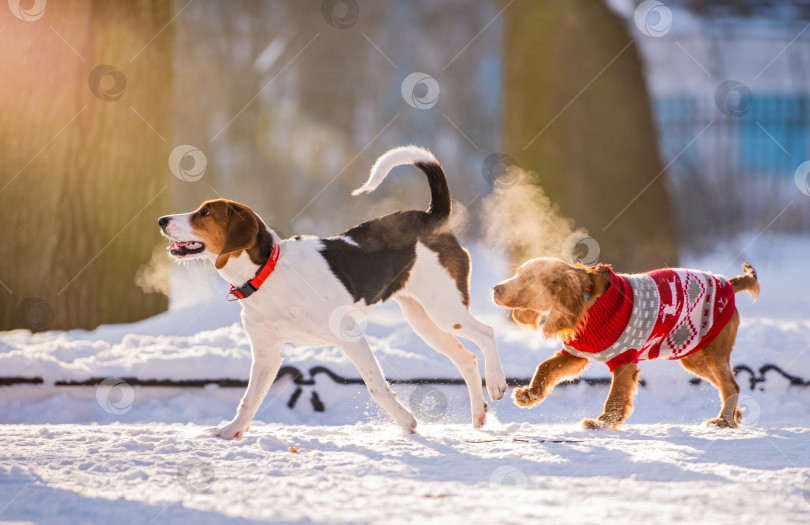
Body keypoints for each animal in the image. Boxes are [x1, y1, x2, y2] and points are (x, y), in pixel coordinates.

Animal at [158, 145, 504, 436]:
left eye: (205, 213)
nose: (161, 219)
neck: (267, 273)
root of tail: (433, 217)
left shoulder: (350, 335)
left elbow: (376, 386)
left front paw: (407, 421)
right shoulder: (267, 353)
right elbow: (249, 399)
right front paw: (231, 431)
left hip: (444, 309)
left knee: (487, 333)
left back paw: (498, 384)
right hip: (424, 321)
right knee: (467, 358)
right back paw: (479, 415)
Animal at [490, 256, 760, 428]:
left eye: (531, 278)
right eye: (518, 273)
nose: (495, 288)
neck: (588, 303)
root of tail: (728, 284)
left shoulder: (624, 360)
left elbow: (616, 395)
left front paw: (603, 423)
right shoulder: (576, 354)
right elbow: (545, 367)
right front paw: (530, 394)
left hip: (713, 353)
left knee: (730, 385)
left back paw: (725, 421)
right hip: (693, 356)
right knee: (729, 385)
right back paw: (734, 417)